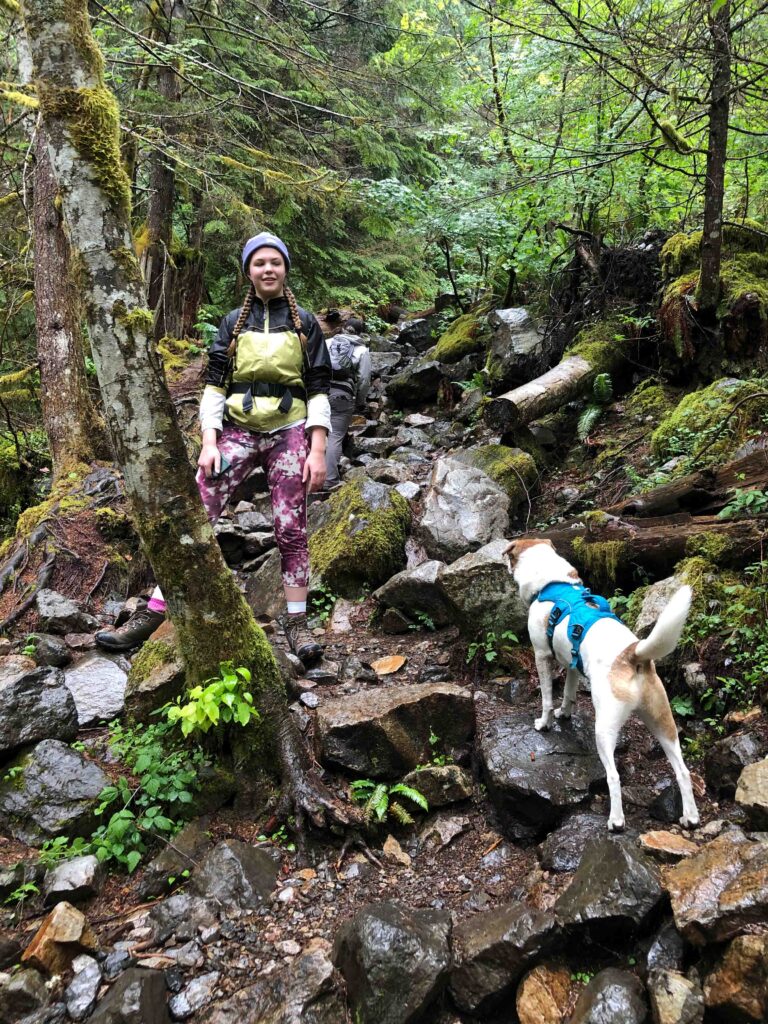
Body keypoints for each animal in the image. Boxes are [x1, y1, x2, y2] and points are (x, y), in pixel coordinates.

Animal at [507, 536, 700, 831]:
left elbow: (547, 698)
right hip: (663, 723)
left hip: (605, 729)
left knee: (613, 776)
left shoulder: (541, 655)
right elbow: (568, 693)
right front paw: (565, 714)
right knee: (682, 770)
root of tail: (632, 655)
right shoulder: (572, 664)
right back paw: (690, 816)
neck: (552, 583)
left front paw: (545, 723)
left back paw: (616, 820)